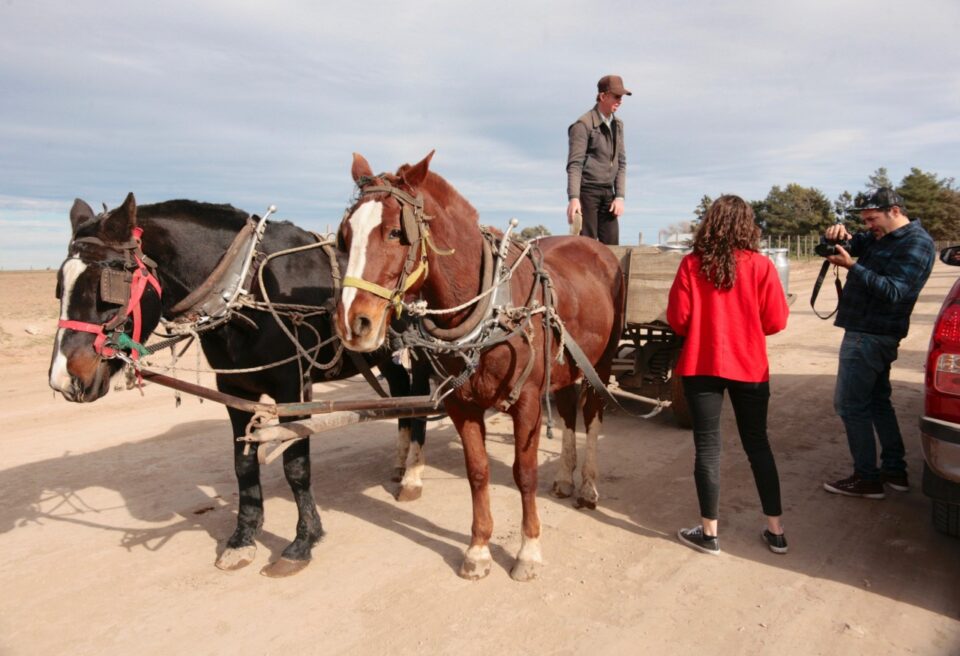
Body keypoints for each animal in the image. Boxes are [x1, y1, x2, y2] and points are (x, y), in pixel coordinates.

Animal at [48, 192, 429, 577]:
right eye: (60, 287)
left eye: (107, 284)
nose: (64, 379)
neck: (246, 289)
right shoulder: (234, 390)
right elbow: (242, 465)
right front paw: (243, 537)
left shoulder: (294, 389)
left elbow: (295, 465)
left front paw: (303, 541)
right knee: (403, 392)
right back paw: (401, 463)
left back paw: (413, 474)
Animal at [333, 152, 625, 581]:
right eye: (344, 236)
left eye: (394, 233)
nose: (354, 323)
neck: (486, 306)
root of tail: (595, 246)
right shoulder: (462, 404)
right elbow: (477, 472)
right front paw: (478, 548)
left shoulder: (527, 403)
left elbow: (524, 474)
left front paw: (528, 550)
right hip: (566, 366)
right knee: (569, 410)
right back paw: (564, 478)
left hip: (600, 365)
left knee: (591, 414)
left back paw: (587, 486)